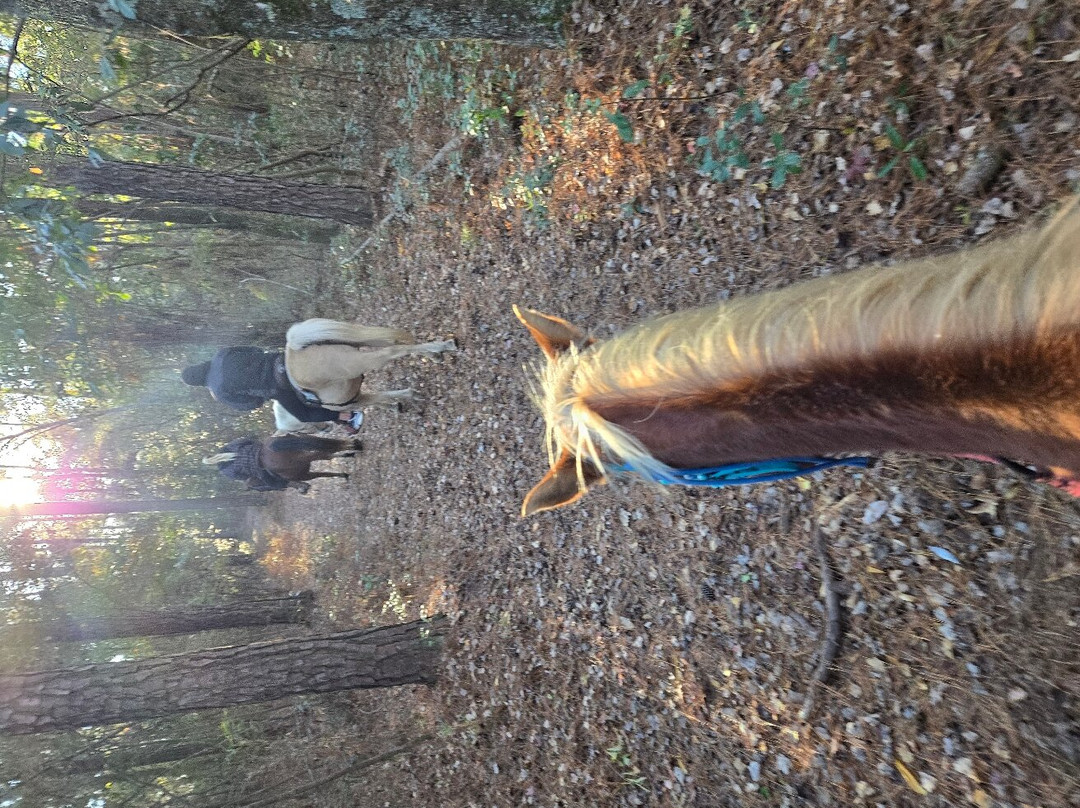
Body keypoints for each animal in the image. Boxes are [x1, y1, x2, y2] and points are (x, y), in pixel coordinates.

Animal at [203, 434, 362, 494]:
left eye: (261, 488)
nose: (304, 490)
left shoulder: (304, 473)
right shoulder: (306, 473)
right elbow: (324, 472)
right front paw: (344, 473)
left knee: (326, 453)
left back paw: (354, 446)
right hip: (303, 445)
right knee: (326, 450)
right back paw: (352, 446)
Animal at [284, 319, 456, 410]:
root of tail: (293, 346)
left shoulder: (357, 401)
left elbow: (379, 397)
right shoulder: (360, 397)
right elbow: (381, 396)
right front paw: (407, 397)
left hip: (359, 360)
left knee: (393, 349)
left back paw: (442, 346)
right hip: (361, 340)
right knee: (395, 342)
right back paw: (436, 353)